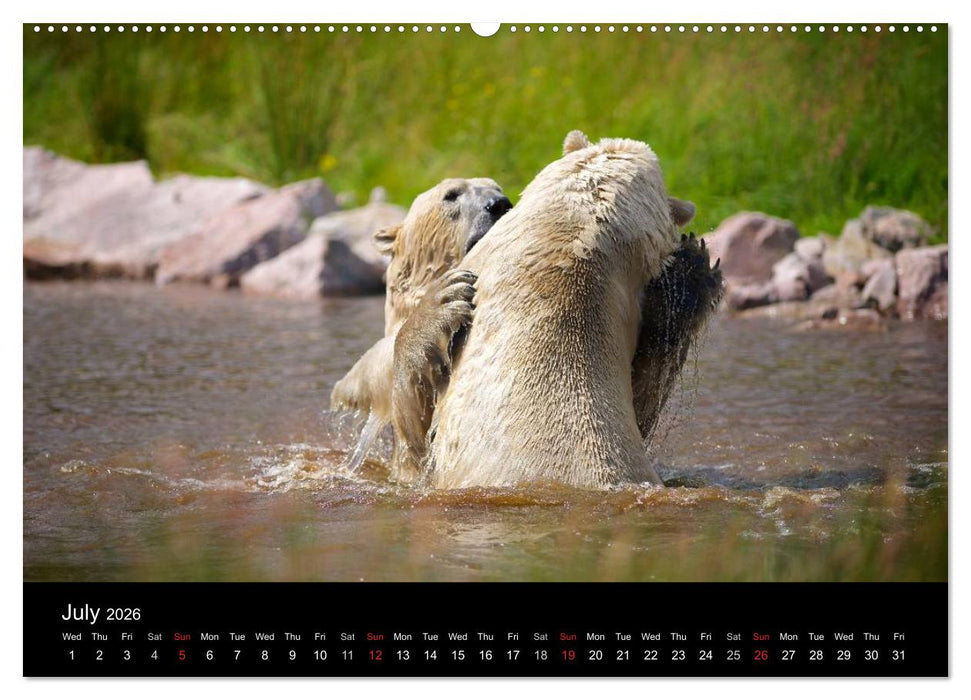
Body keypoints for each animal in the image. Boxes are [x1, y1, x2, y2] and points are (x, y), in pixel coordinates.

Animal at [330, 177, 511, 467]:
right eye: (451, 195)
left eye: (497, 187)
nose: (499, 204)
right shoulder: (384, 373)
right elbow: (413, 429)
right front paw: (442, 300)